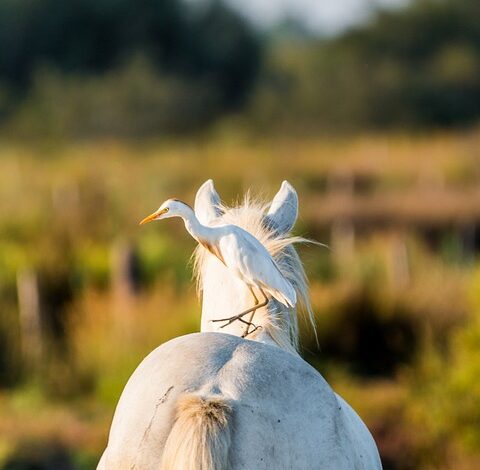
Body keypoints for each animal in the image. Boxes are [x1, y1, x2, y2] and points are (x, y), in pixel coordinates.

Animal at [98, 181, 382, 470]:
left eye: (165, 209)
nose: (148, 218)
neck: (218, 237)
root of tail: (209, 395)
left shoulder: (244, 270)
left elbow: (259, 300)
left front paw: (235, 323)